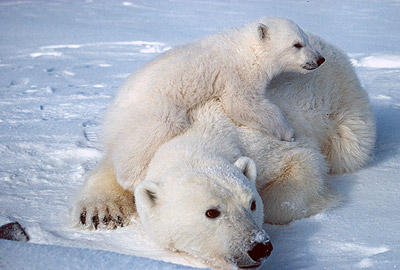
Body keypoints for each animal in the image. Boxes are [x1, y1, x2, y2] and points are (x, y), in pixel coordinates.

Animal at [103, 17, 324, 192]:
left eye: (306, 39)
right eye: (297, 44)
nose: (320, 59)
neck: (246, 49)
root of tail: (111, 115)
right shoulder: (236, 74)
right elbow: (242, 104)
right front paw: (287, 132)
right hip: (153, 108)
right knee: (152, 134)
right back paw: (133, 178)